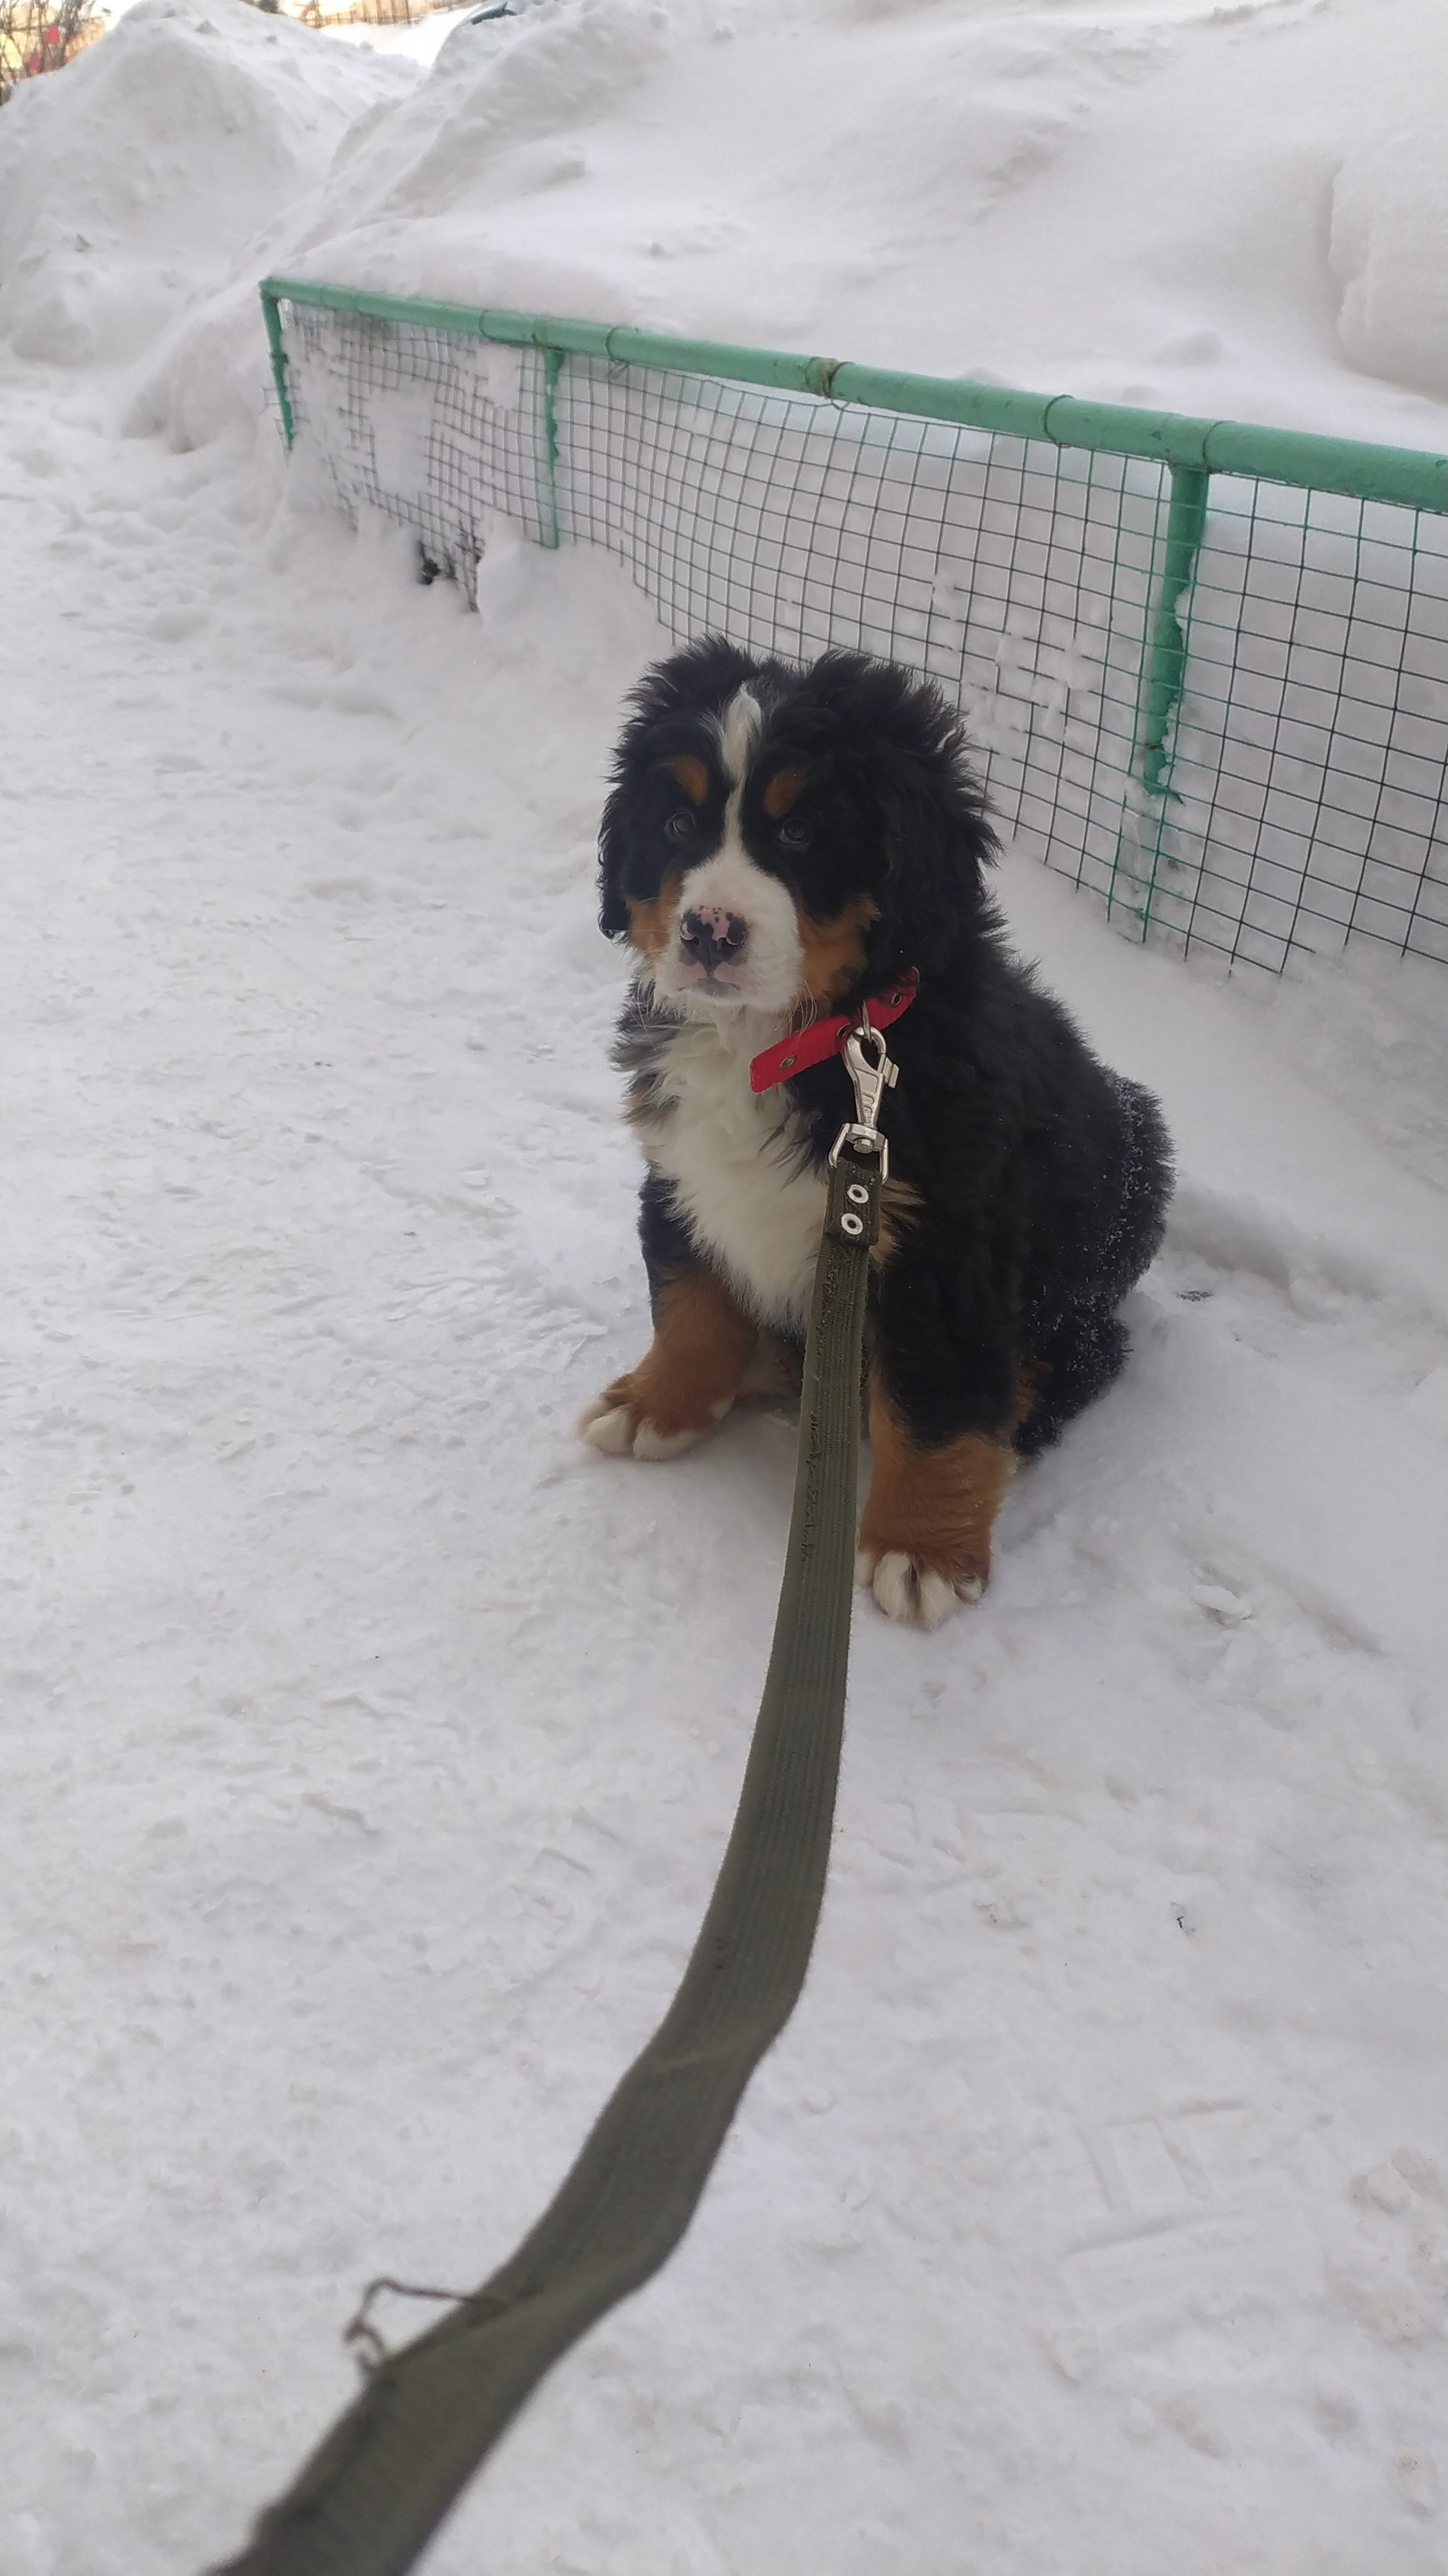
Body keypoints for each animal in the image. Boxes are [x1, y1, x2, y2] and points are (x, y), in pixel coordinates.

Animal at [569, 631, 1164, 1617]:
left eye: (800, 834)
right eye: (677, 827)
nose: (709, 930)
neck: (794, 1043)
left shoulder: (943, 1250)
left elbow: (931, 1407)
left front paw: (920, 1547)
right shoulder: (682, 1175)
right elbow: (689, 1298)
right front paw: (658, 1400)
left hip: (1126, 1184)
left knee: (1076, 1358)